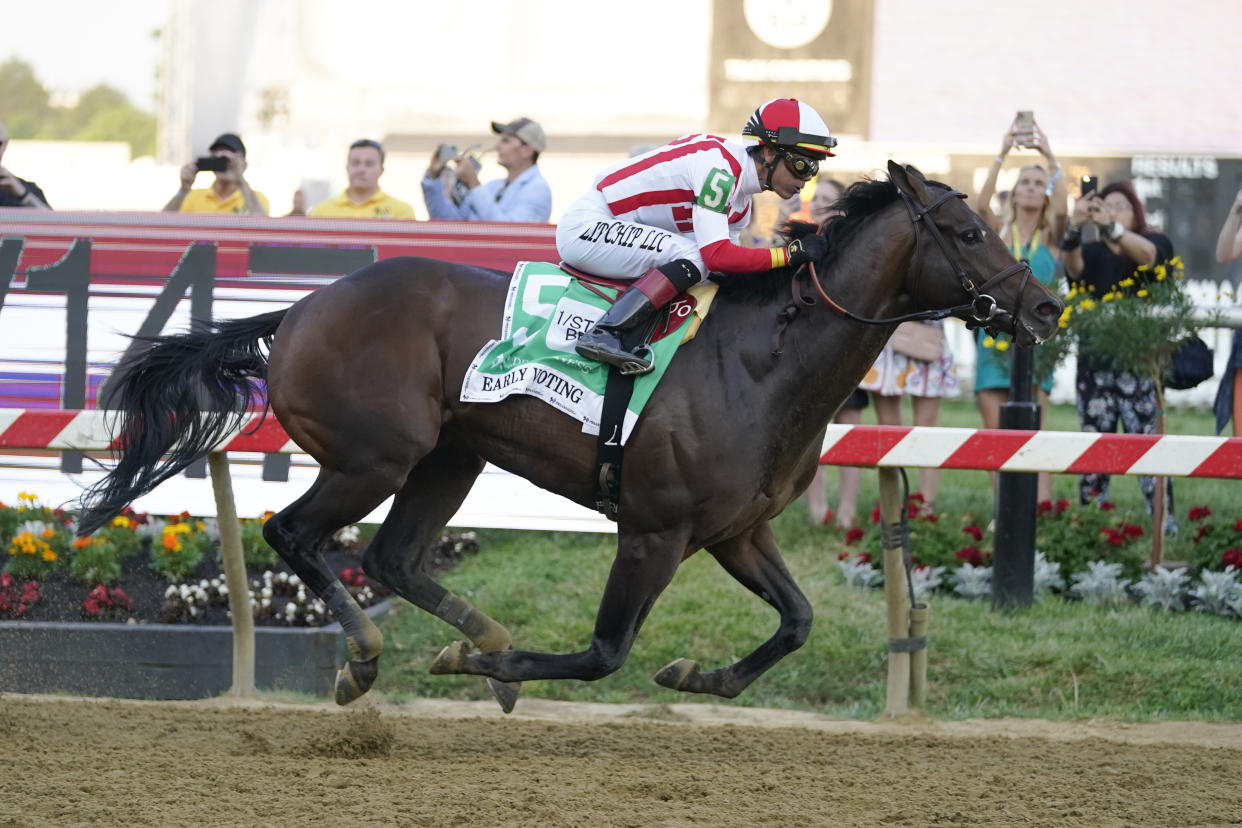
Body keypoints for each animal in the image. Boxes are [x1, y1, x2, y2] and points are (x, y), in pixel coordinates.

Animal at [80, 163, 1058, 715]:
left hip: (451, 455)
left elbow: (797, 622)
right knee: (296, 533)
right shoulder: (655, 531)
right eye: (968, 229)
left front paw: (695, 677)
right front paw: (490, 665)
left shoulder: (738, 530)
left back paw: (467, 633)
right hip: (376, 456)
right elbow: (603, 653)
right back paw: (365, 657)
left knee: (393, 558)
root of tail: (298, 310)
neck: (761, 362)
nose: (1045, 305)